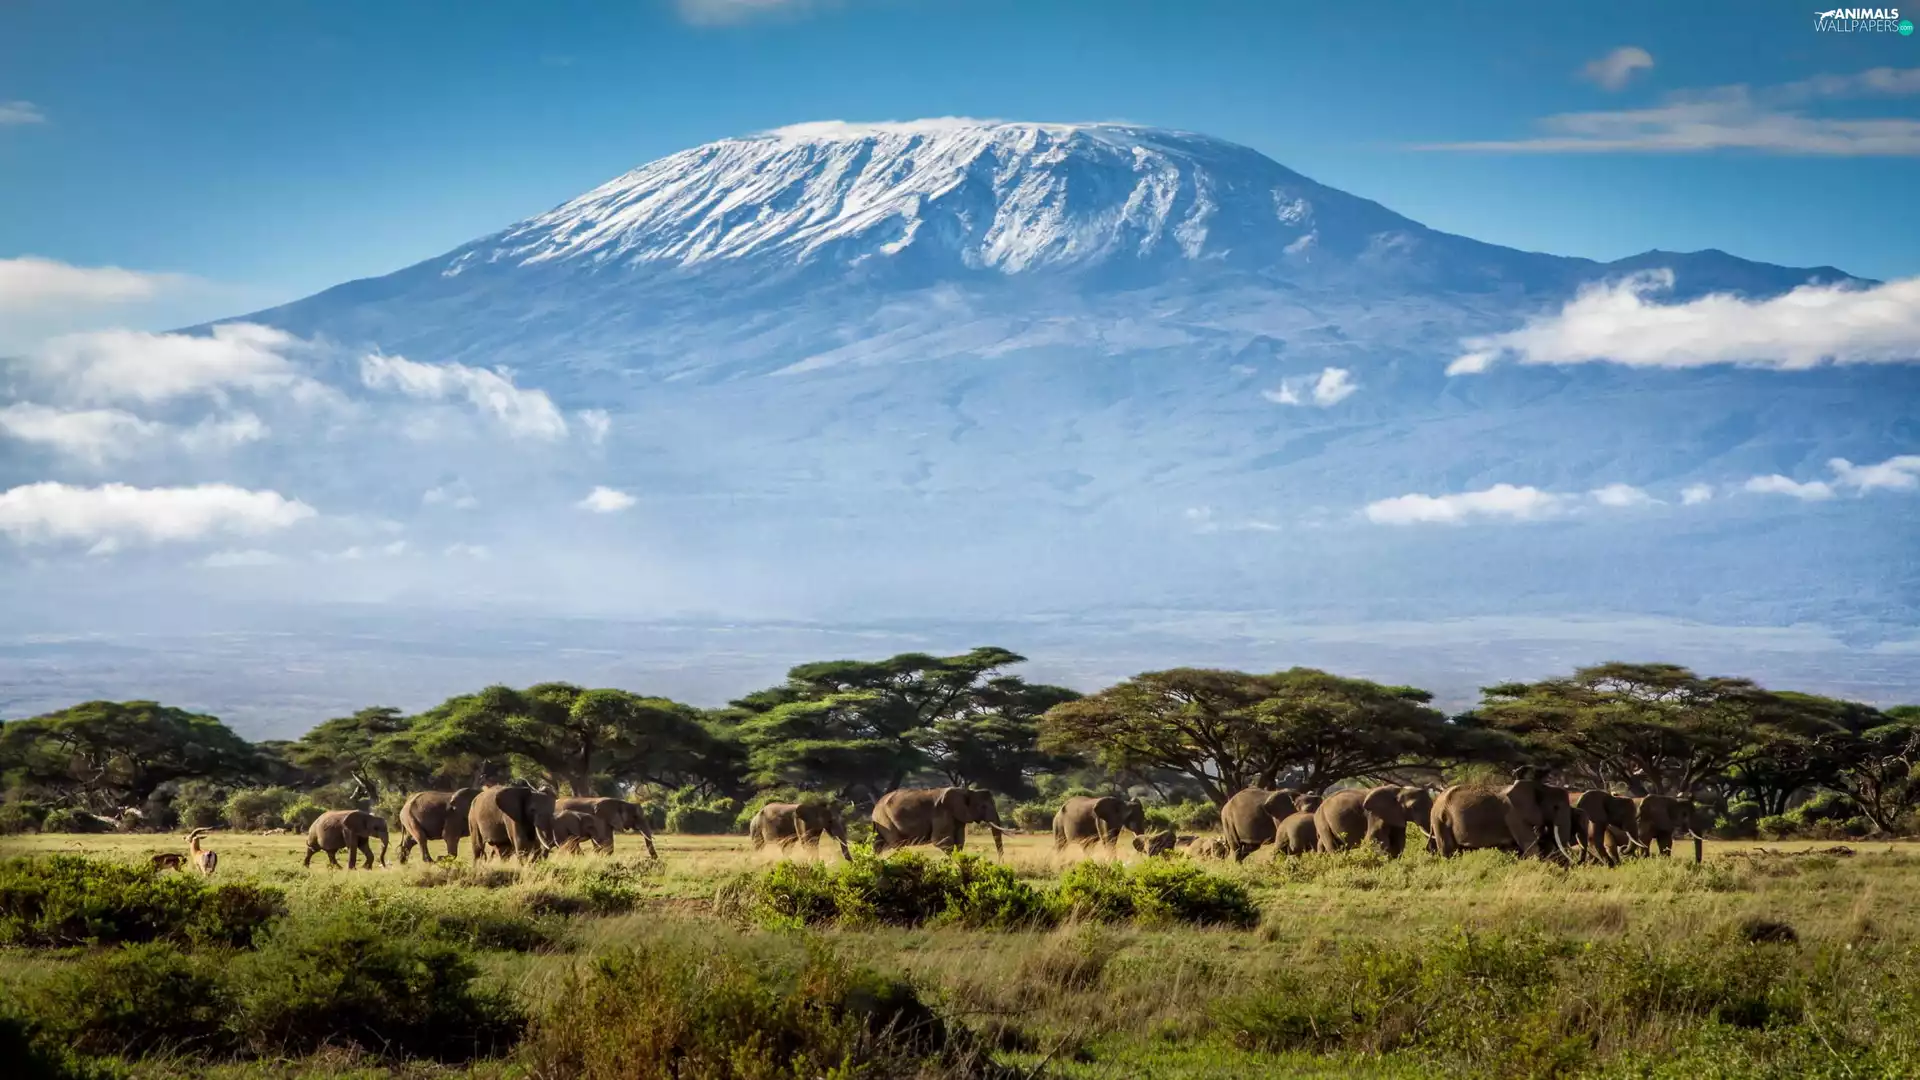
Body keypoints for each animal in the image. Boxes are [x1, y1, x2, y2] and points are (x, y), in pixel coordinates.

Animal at [870, 786, 1010, 857]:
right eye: (983, 807)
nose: (1001, 863)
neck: (967, 791)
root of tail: (875, 808)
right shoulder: (942, 813)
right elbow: (941, 841)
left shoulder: (957, 817)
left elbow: (959, 841)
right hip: (885, 820)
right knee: (896, 844)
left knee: (879, 845)